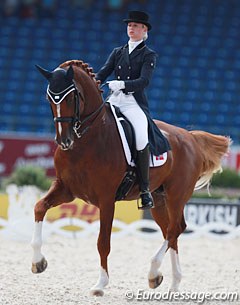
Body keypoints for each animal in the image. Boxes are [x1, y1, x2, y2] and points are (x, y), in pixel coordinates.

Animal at [31, 59, 231, 294]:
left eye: (72, 97)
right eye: (49, 98)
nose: (64, 141)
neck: (86, 141)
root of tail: (190, 137)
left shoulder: (106, 199)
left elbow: (103, 242)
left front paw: (100, 284)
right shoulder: (66, 189)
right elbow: (39, 207)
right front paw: (38, 262)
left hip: (177, 196)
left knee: (175, 229)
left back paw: (154, 273)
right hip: (158, 200)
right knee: (170, 231)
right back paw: (172, 283)